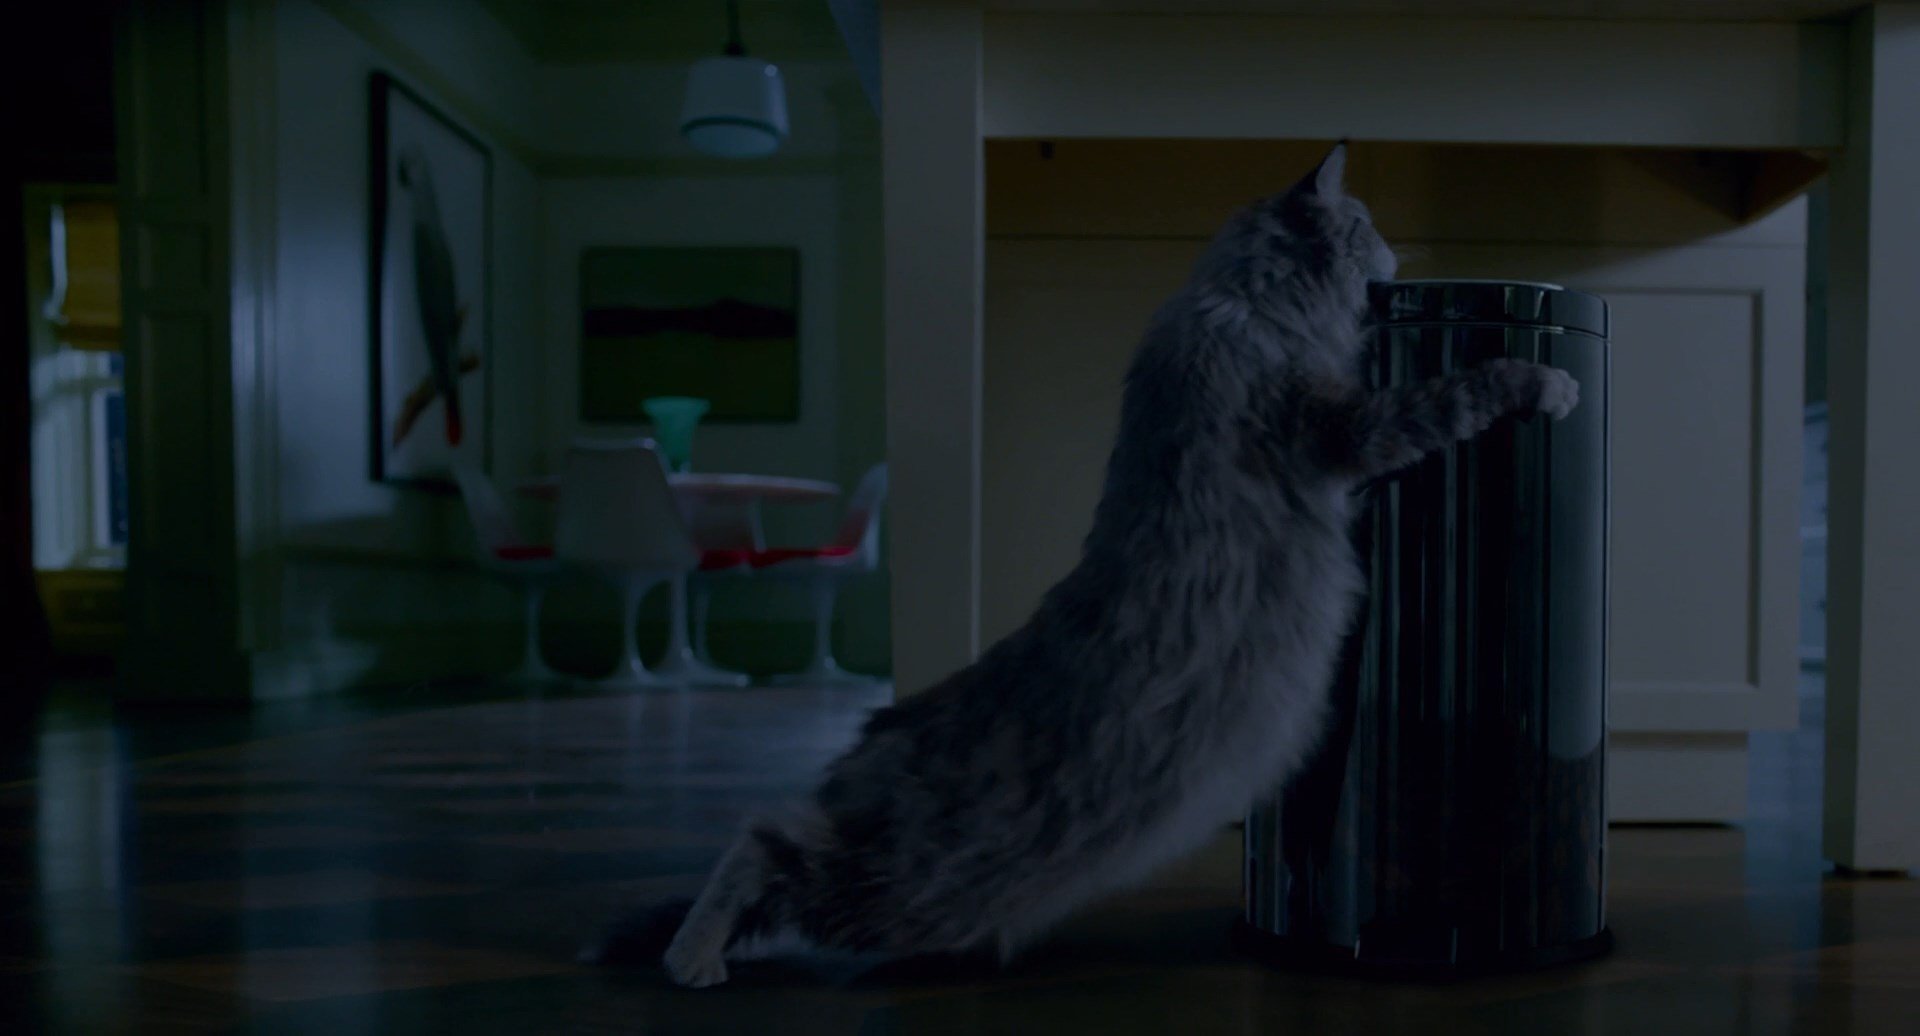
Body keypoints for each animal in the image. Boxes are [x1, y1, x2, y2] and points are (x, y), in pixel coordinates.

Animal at [596, 142, 1579, 988]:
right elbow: (1465, 389)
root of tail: (882, 734)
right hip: (897, 880)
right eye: (1365, 220)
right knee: (764, 838)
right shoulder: (1342, 428)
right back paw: (691, 959)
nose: (1397, 248)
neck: (1238, 298)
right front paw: (1548, 384)